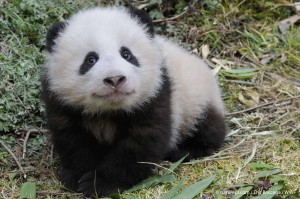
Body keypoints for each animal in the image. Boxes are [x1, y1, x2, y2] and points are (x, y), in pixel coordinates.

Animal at [41, 5, 225, 197]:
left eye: (127, 54)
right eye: (90, 60)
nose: (115, 79)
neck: (109, 110)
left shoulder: (156, 95)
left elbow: (140, 145)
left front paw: (100, 183)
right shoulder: (61, 103)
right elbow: (73, 141)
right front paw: (77, 176)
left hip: (196, 99)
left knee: (208, 128)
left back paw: (184, 150)